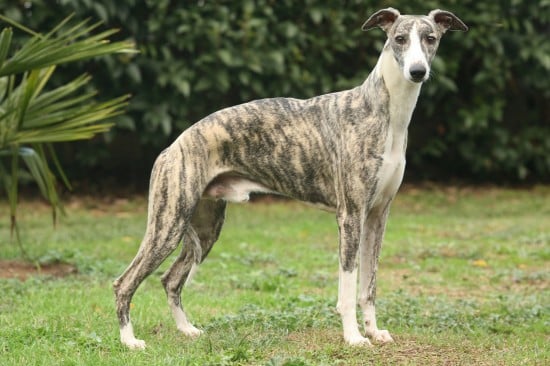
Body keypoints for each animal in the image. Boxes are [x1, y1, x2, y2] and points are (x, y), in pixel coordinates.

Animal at [114, 8, 468, 348]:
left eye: (431, 38)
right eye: (399, 39)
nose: (417, 71)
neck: (381, 111)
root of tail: (173, 146)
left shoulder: (378, 215)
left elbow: (369, 285)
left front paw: (374, 332)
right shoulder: (351, 216)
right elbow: (348, 286)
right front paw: (354, 338)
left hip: (205, 227)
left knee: (171, 279)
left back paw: (187, 330)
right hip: (168, 224)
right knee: (124, 282)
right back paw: (130, 341)